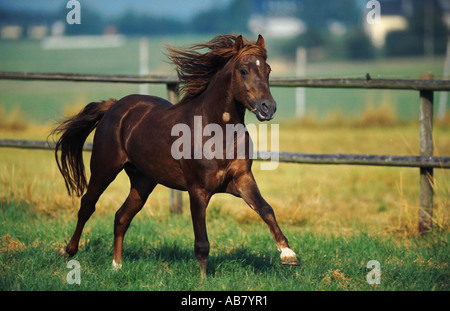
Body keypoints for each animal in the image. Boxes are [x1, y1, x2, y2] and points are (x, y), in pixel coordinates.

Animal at [52, 34, 298, 278]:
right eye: (244, 70)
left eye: (268, 69)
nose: (268, 108)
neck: (216, 133)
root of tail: (114, 106)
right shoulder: (197, 189)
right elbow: (202, 241)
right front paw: (203, 279)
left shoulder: (241, 179)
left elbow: (266, 209)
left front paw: (288, 254)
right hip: (104, 169)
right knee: (87, 205)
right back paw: (68, 251)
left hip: (143, 181)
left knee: (121, 217)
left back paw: (117, 266)